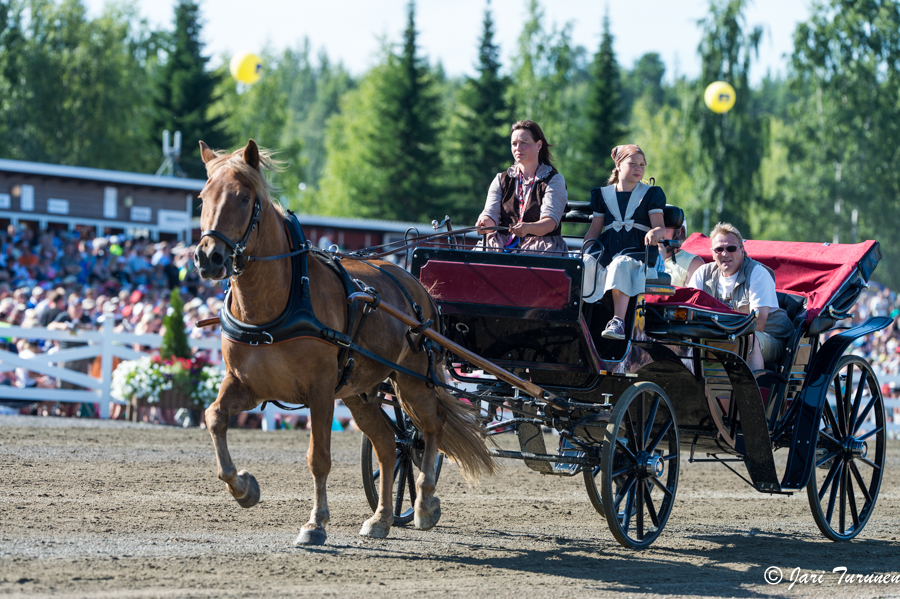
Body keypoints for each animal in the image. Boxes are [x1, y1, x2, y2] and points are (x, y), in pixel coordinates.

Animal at [192, 138, 496, 548]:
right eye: (202, 197)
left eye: (243, 197)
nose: (208, 257)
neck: (279, 301)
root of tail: (418, 287)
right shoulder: (247, 384)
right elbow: (214, 418)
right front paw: (244, 488)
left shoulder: (319, 391)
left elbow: (318, 457)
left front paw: (315, 524)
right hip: (360, 392)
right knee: (388, 445)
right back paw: (381, 518)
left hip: (413, 379)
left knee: (431, 428)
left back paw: (425, 504)